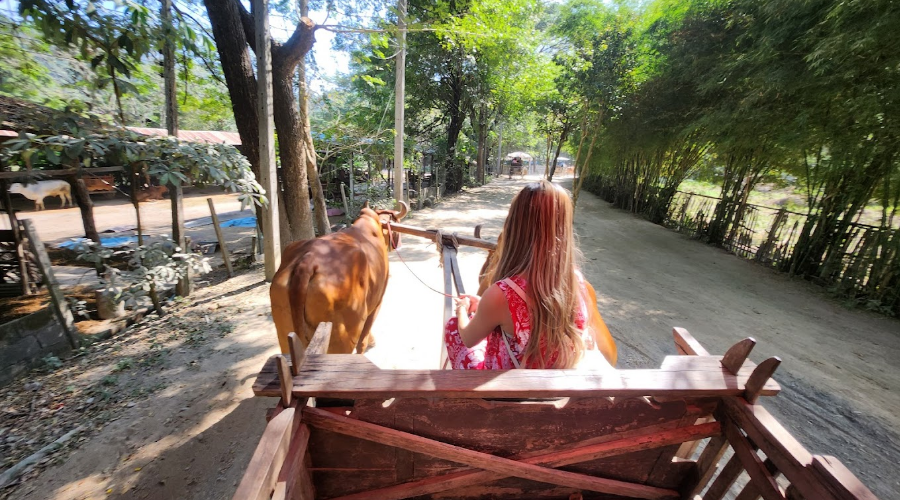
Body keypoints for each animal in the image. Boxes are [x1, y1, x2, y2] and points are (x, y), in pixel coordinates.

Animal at [270, 201, 409, 355]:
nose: (398, 244)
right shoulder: (378, 301)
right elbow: (363, 339)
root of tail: (307, 261)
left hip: (285, 333)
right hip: (344, 334)